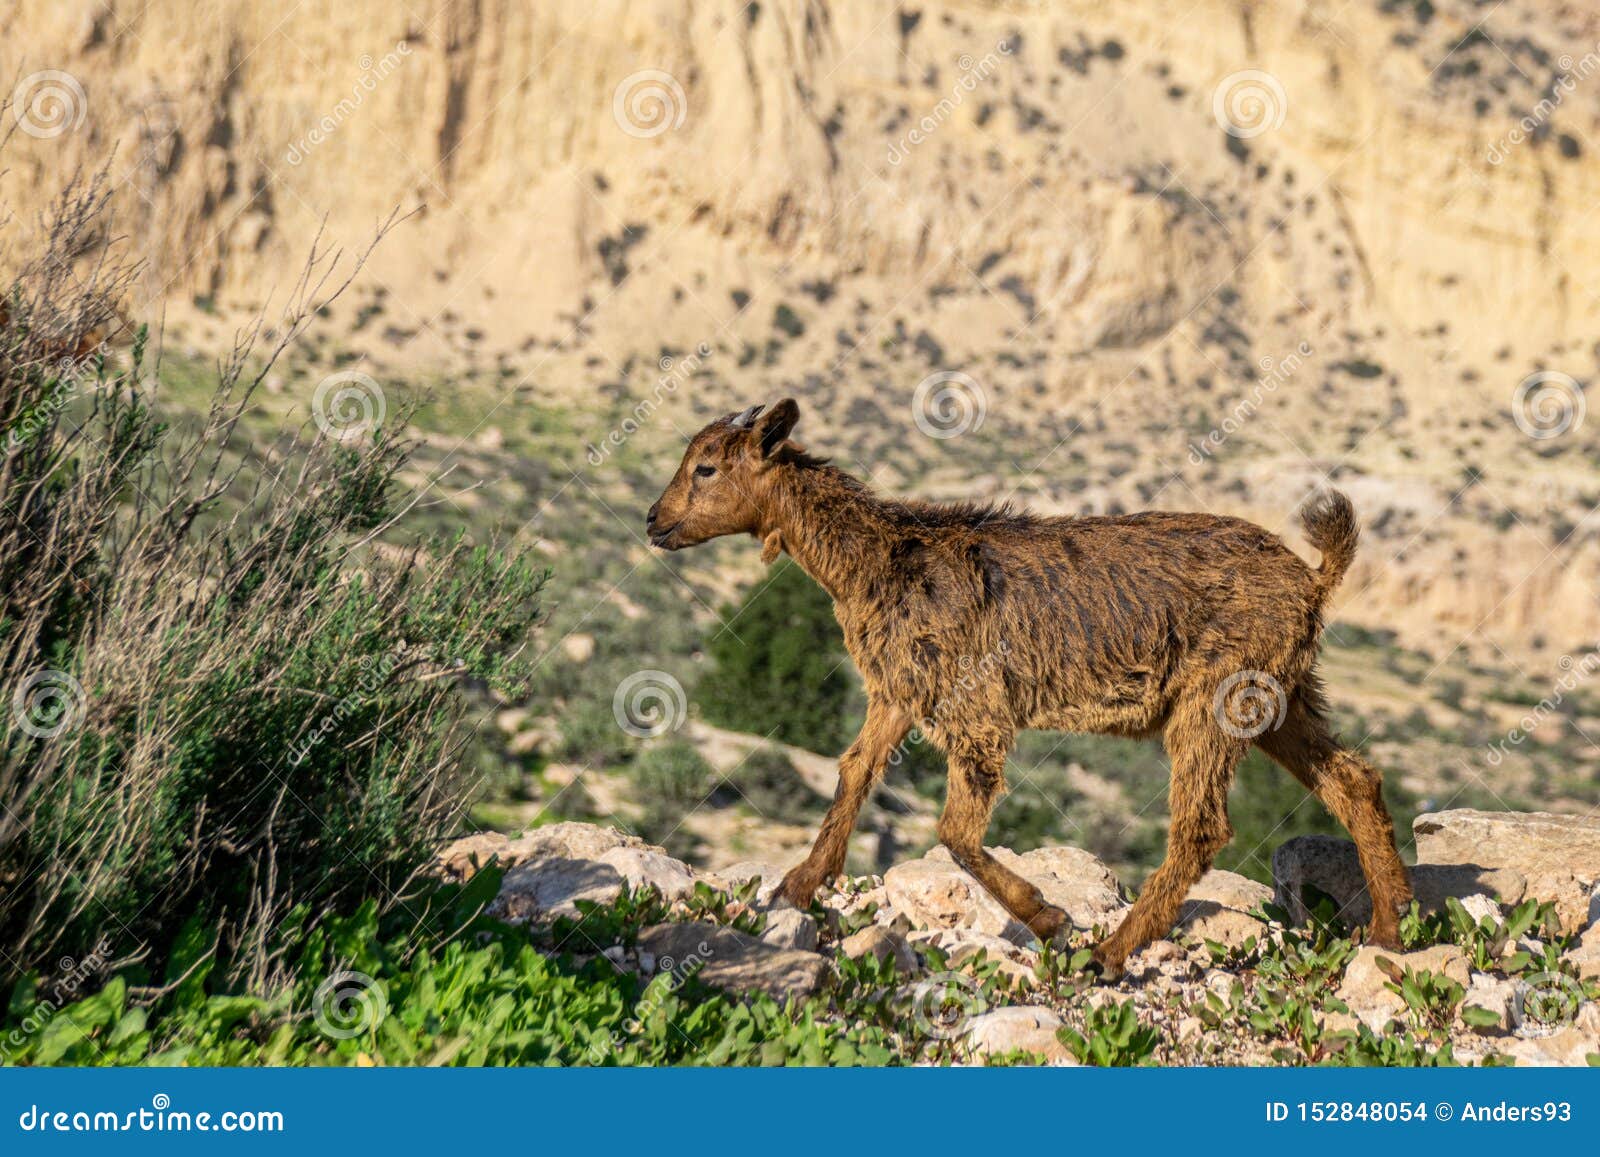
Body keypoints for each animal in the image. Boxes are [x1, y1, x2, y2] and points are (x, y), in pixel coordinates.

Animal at [647, 399, 1412, 977]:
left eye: (707, 467)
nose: (654, 520)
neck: (884, 556)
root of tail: (1312, 576)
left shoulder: (975, 709)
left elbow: (956, 832)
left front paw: (1050, 917)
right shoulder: (897, 692)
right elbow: (855, 772)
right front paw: (799, 885)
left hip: (1217, 696)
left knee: (1201, 825)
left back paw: (1111, 951)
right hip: (1280, 696)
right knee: (1353, 780)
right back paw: (1388, 928)